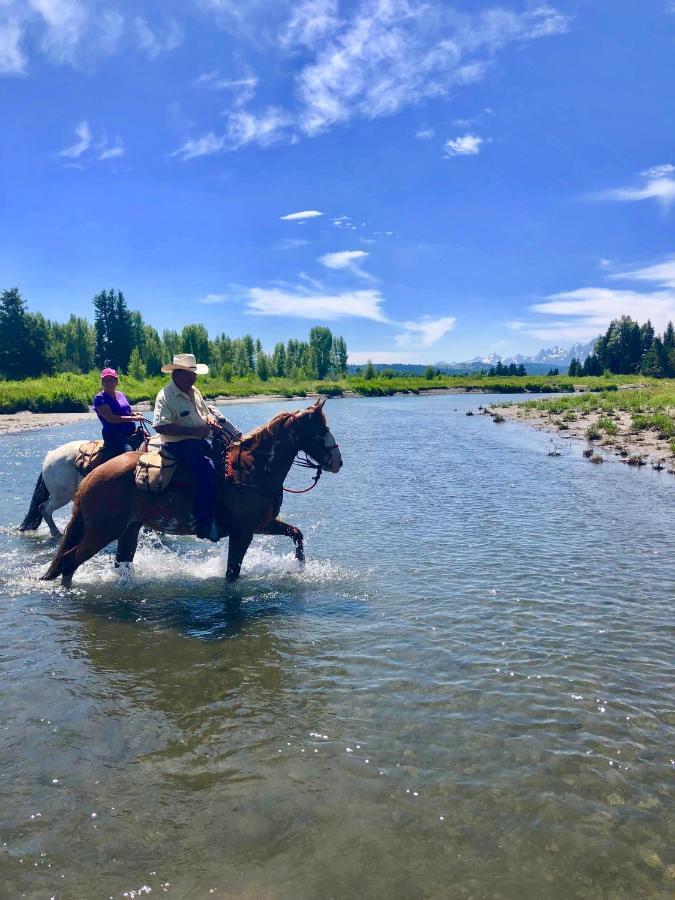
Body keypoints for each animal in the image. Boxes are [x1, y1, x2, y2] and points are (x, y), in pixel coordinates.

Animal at [41, 400, 344, 584]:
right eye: (322, 429)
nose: (337, 462)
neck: (251, 469)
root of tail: (91, 477)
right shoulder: (243, 531)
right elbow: (232, 573)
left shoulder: (261, 525)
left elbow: (296, 535)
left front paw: (300, 568)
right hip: (102, 531)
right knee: (68, 561)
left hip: (128, 530)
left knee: (118, 564)